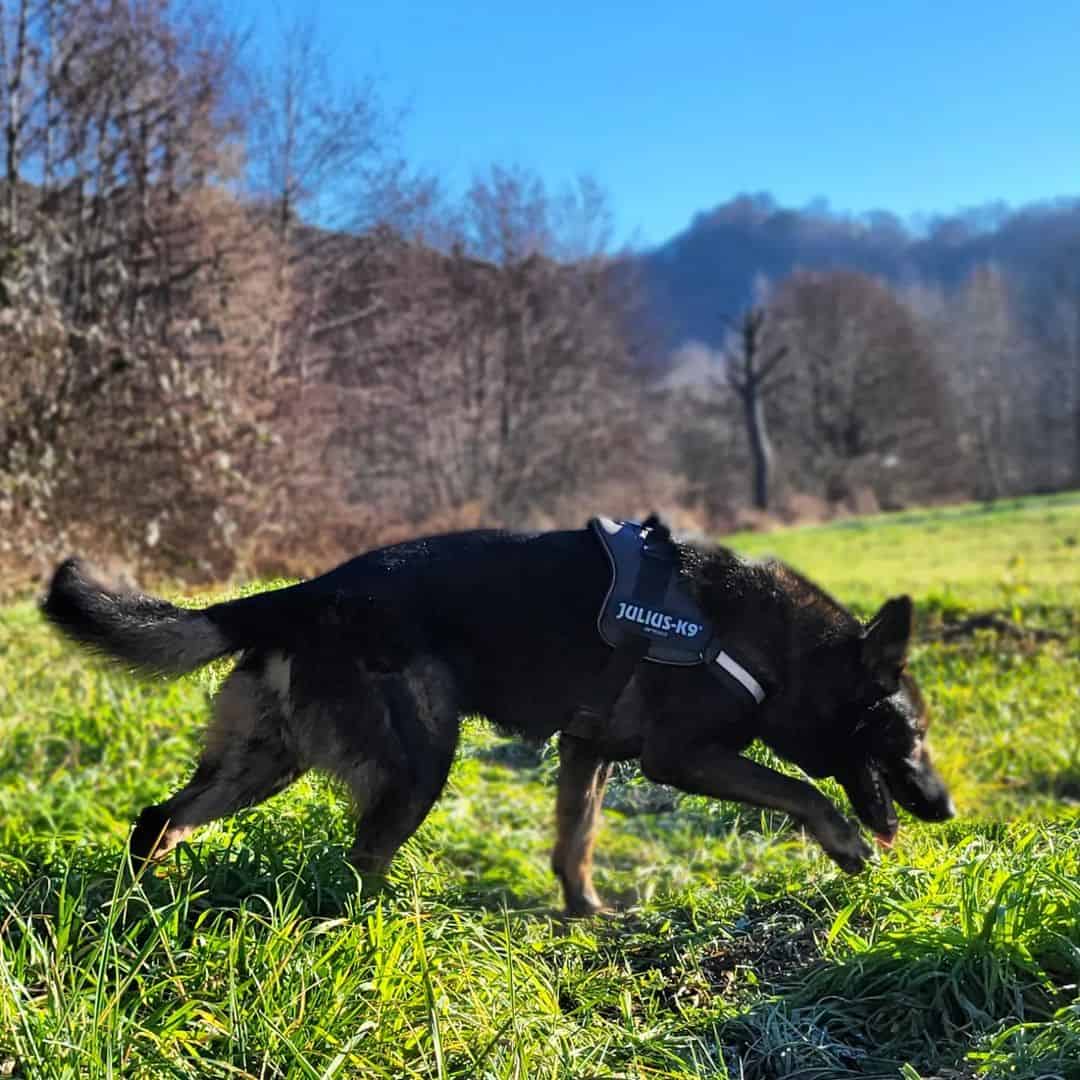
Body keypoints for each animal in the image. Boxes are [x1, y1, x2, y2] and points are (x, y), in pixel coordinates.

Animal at [42, 518, 954, 915]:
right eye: (909, 735)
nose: (945, 807)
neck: (769, 639)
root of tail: (306, 592)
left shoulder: (588, 752)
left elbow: (574, 843)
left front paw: (587, 918)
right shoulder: (681, 757)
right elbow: (804, 790)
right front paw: (844, 846)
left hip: (263, 761)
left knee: (157, 820)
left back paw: (139, 903)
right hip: (418, 763)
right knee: (359, 859)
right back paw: (379, 921)